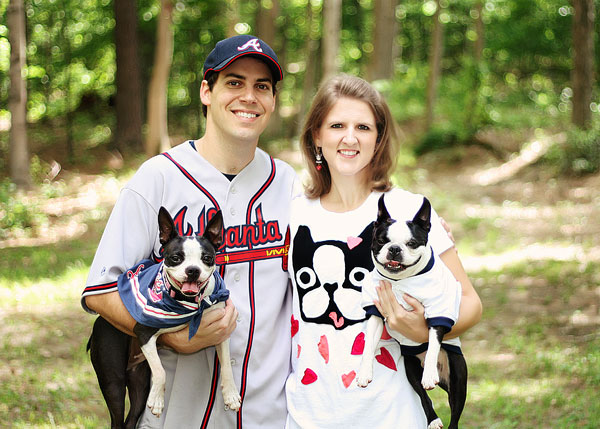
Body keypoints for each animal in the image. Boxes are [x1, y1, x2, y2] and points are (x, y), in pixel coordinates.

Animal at [87, 206, 241, 424]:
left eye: (207, 258)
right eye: (176, 258)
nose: (193, 270)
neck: (188, 302)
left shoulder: (222, 330)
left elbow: (226, 363)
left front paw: (231, 394)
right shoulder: (144, 333)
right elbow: (160, 371)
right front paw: (158, 401)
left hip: (139, 381)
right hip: (113, 382)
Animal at [356, 196, 468, 428]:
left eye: (412, 243)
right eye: (382, 240)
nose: (394, 249)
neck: (401, 280)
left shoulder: (437, 313)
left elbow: (433, 344)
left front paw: (429, 375)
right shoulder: (376, 312)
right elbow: (368, 346)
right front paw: (364, 373)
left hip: (458, 377)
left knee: (455, 413)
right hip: (410, 369)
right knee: (423, 397)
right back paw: (433, 419)